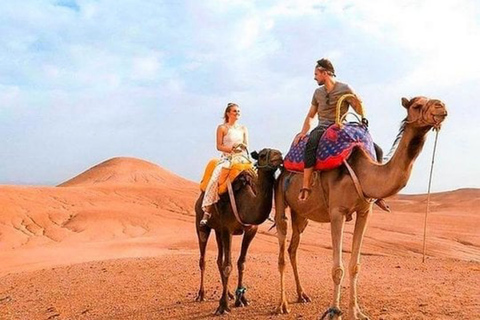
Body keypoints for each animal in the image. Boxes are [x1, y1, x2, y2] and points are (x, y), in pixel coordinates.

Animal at [195, 148, 284, 316]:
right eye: (262, 155)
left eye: (279, 153)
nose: (279, 156)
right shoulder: (227, 229)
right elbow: (228, 266)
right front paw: (223, 306)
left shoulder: (251, 230)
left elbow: (241, 263)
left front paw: (241, 299)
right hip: (201, 224)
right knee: (203, 259)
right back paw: (201, 295)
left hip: (218, 231)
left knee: (219, 259)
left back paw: (229, 293)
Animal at [276, 97, 448, 320]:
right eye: (416, 105)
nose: (441, 106)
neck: (362, 171)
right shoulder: (337, 212)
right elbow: (337, 269)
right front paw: (334, 312)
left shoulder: (365, 212)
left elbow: (355, 266)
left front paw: (355, 312)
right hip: (280, 196)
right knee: (281, 248)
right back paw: (282, 304)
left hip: (301, 215)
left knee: (293, 248)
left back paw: (302, 295)